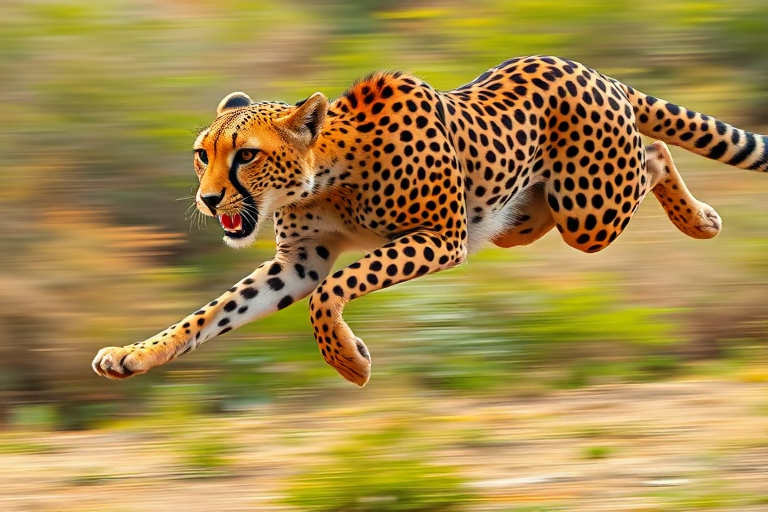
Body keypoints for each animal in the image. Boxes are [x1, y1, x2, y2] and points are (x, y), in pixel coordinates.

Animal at [93, 55, 768, 387]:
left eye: (246, 155)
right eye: (202, 154)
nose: (209, 200)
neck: (324, 177)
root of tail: (591, 70)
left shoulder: (440, 239)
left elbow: (336, 290)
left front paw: (350, 362)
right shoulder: (297, 263)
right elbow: (210, 314)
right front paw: (133, 356)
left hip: (590, 209)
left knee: (653, 154)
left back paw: (700, 221)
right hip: (534, 216)